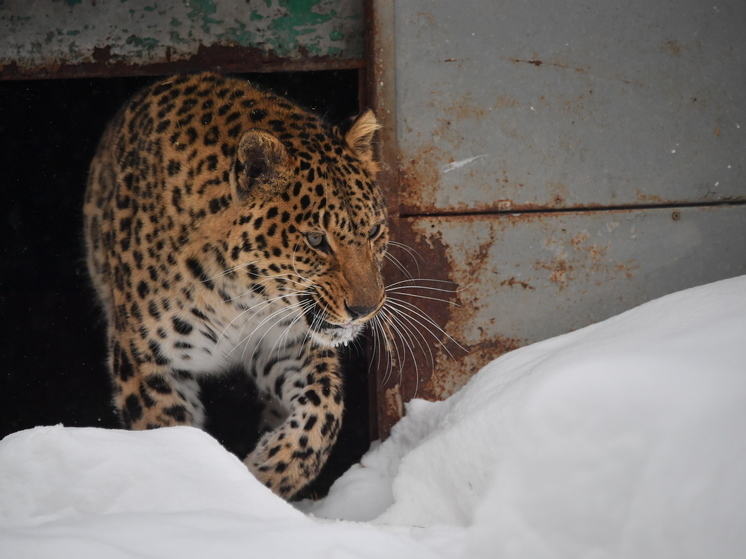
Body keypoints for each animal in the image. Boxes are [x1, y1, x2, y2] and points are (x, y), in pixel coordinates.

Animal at [85, 72, 390, 500]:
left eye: (375, 232)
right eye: (316, 240)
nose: (365, 310)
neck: (241, 296)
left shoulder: (285, 343)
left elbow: (324, 410)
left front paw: (266, 473)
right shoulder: (146, 360)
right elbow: (170, 436)